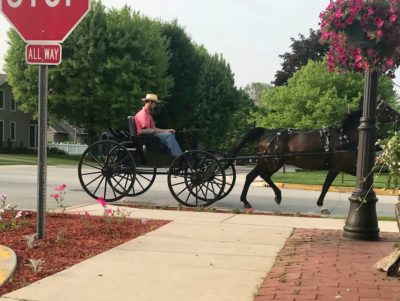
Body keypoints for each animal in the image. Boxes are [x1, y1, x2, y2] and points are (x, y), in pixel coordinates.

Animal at [228, 99, 400, 211]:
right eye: (386, 108)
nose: (398, 116)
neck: (344, 137)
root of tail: (267, 132)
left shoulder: (348, 166)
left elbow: (366, 178)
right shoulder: (336, 167)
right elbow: (326, 185)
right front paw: (321, 204)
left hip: (265, 161)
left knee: (250, 176)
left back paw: (246, 201)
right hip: (274, 162)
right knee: (264, 175)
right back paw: (277, 196)